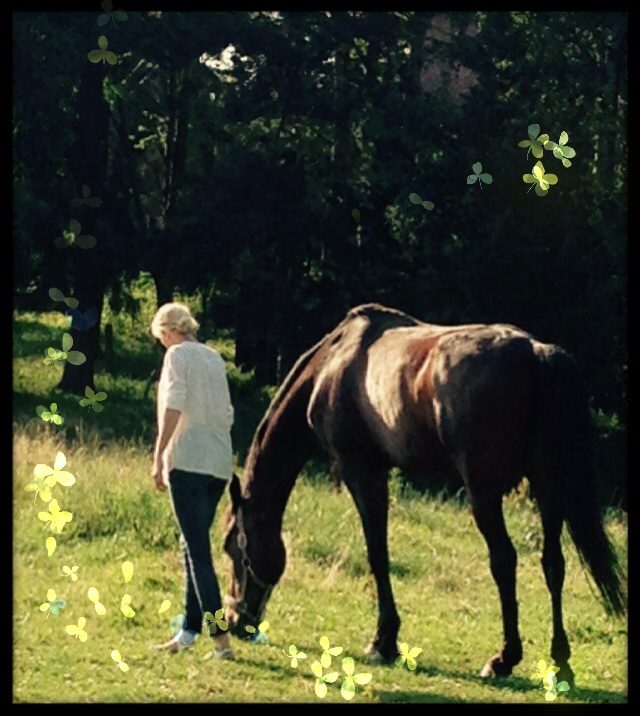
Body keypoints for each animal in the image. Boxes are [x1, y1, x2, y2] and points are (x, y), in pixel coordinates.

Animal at [222, 303, 625, 685]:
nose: (236, 620)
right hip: (547, 484)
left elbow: (377, 553)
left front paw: (383, 641)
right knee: (553, 563)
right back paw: (560, 662)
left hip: (484, 491)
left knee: (504, 559)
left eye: (231, 547)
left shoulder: (361, 470)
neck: (331, 365)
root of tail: (535, 352)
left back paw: (503, 658)